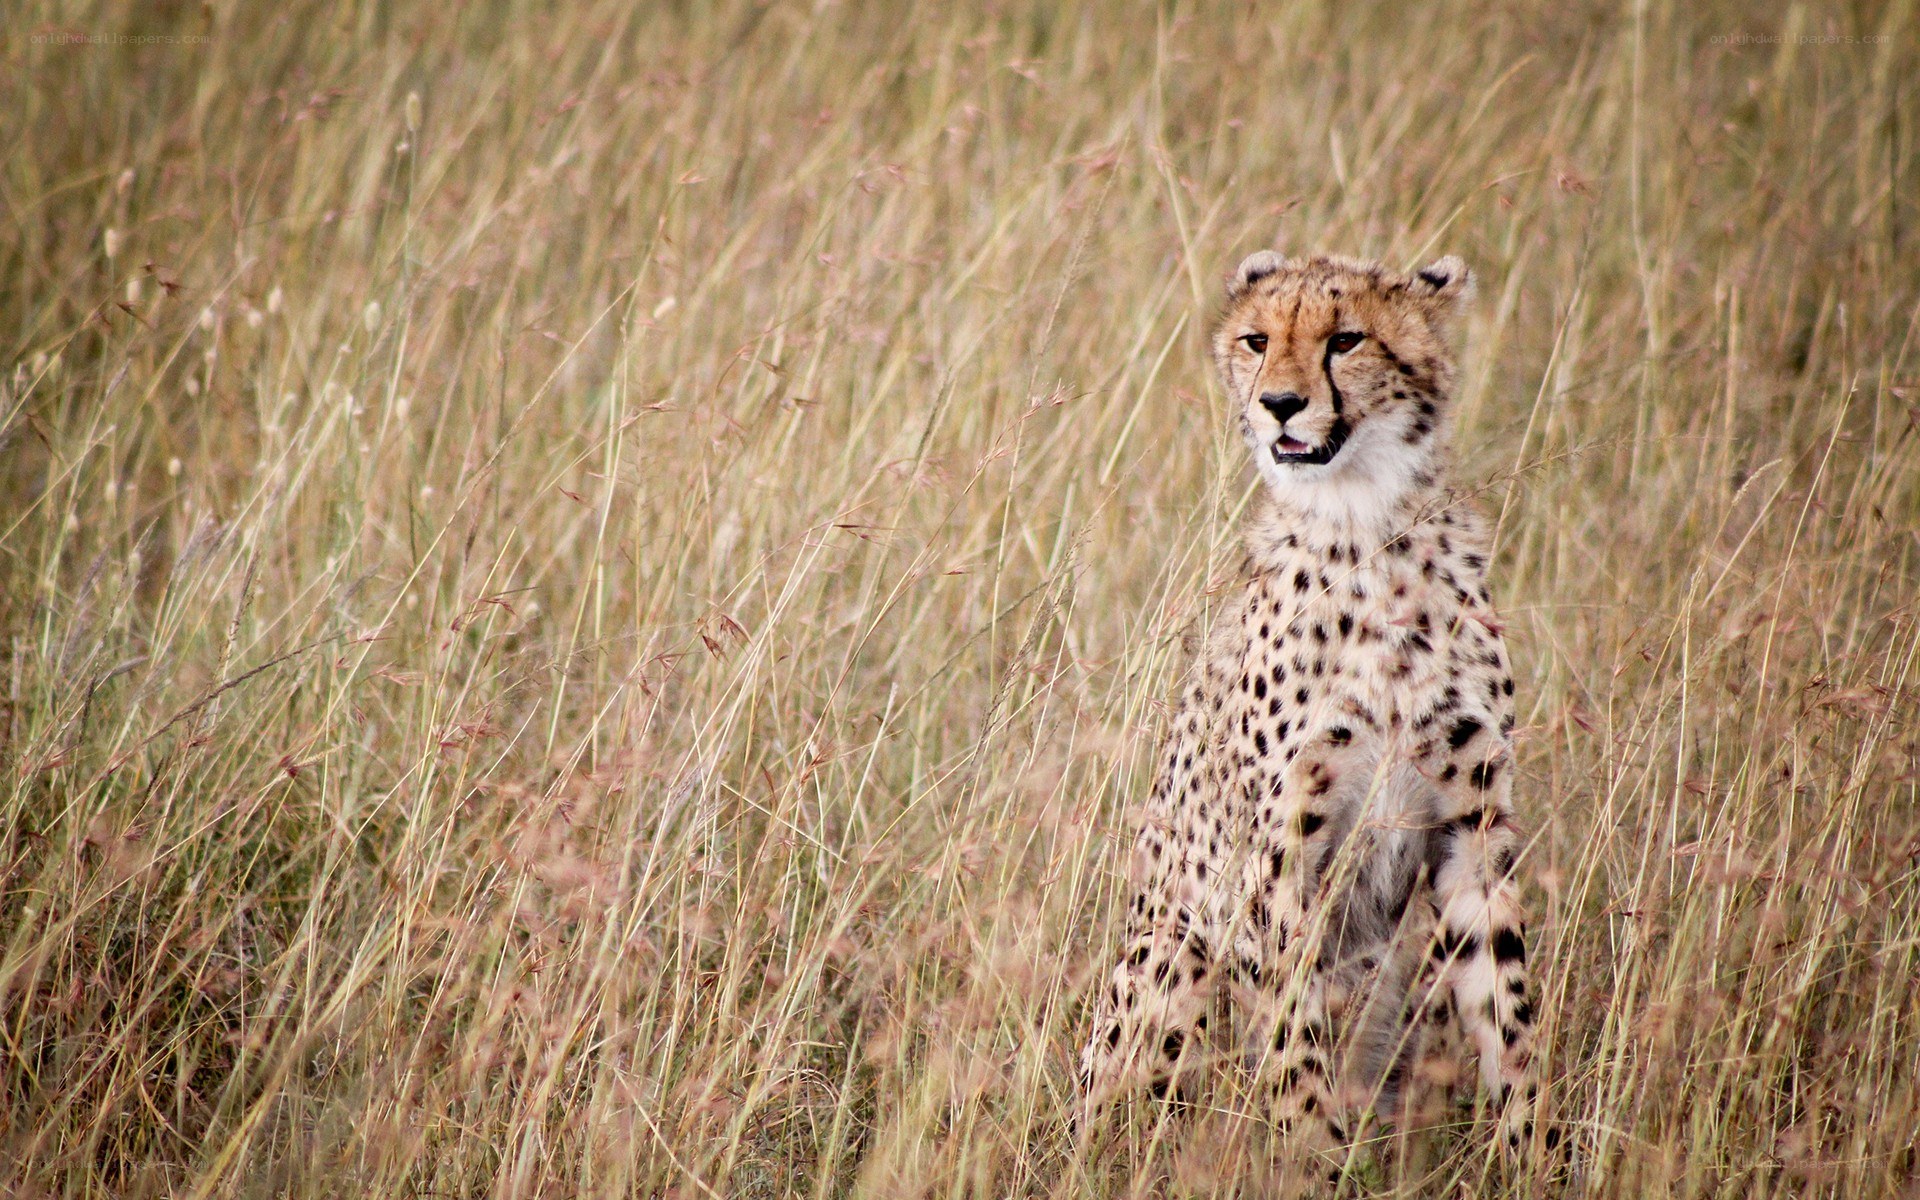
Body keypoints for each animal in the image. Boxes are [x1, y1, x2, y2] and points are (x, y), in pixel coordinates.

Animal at [1078, 250, 1539, 1172]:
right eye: (1258, 340)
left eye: (1346, 340)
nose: (1280, 404)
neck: (1365, 525)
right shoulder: (1278, 854)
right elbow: (1295, 1037)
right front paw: (1317, 1162)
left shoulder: (1471, 829)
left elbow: (1509, 1018)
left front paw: (1539, 1155)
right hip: (1173, 957)